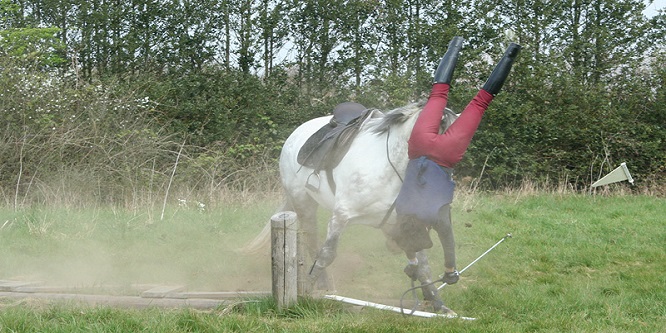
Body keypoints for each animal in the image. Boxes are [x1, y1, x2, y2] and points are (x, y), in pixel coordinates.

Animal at [241, 101, 460, 312]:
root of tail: (296, 133)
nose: (442, 191)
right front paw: (307, 292)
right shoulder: (341, 216)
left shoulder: (406, 223)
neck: (389, 168)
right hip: (303, 202)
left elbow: (422, 264)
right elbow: (326, 255)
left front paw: (438, 303)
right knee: (312, 242)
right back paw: (323, 285)